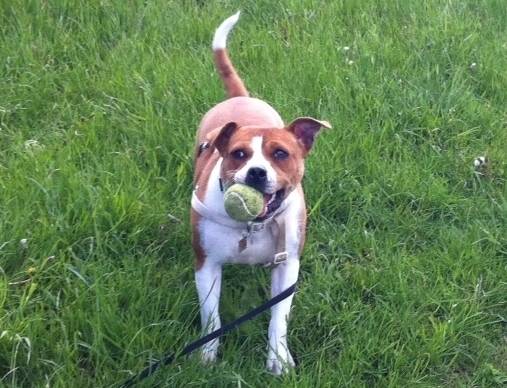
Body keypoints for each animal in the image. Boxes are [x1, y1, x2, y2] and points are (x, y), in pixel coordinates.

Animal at [192, 12, 332, 376]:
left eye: (281, 153)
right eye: (239, 154)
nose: (256, 172)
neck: (251, 227)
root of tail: (240, 97)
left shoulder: (287, 265)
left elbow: (278, 317)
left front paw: (278, 358)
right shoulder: (206, 264)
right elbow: (211, 316)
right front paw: (207, 355)